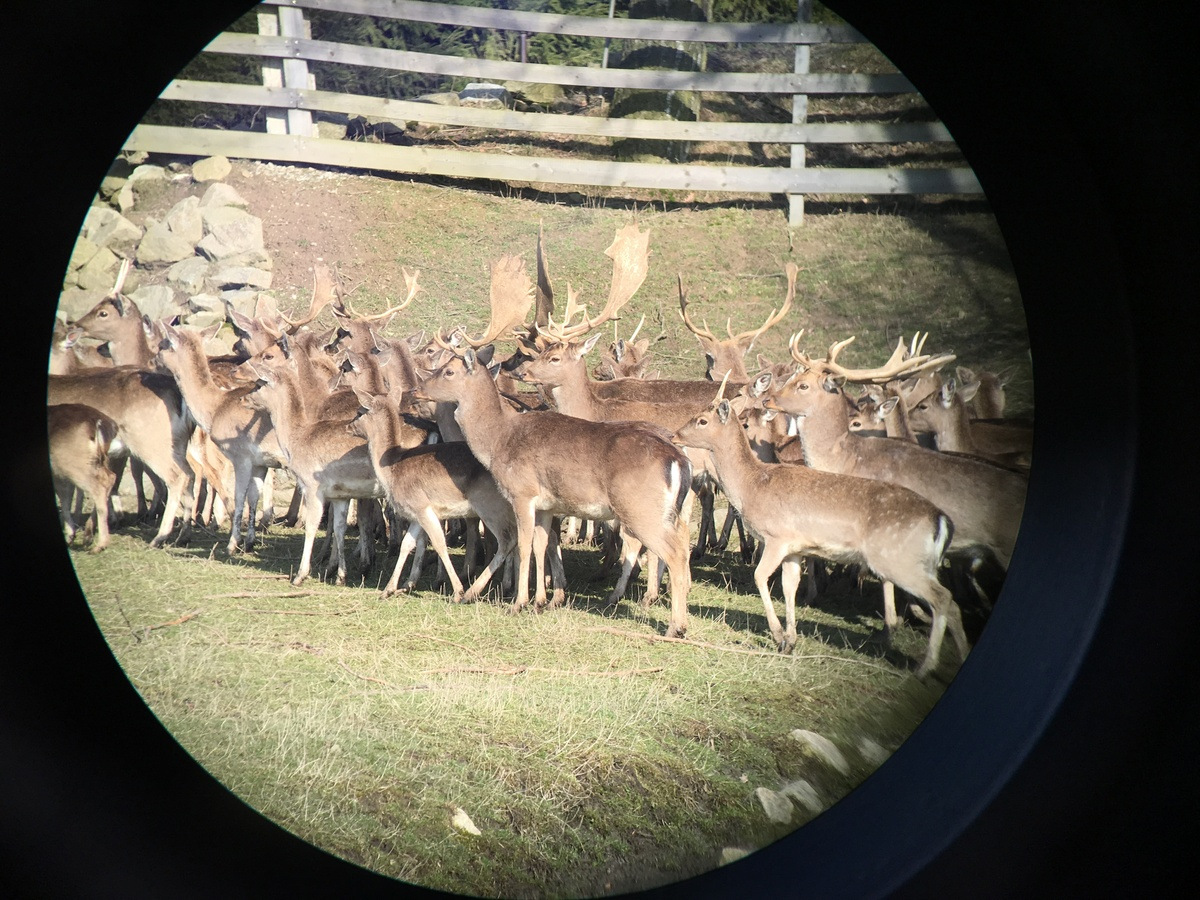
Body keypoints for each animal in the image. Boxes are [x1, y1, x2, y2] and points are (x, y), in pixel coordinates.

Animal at [48, 403, 119, 552]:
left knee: (99, 486)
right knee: (110, 477)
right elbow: (66, 496)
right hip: (95, 461)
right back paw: (87, 536)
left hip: (70, 462)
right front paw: (70, 535)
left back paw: (100, 544)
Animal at [673, 377, 966, 679]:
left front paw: (777, 635)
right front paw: (790, 640)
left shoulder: (777, 537)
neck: (752, 486)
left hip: (898, 560)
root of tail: (940, 520)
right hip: (921, 563)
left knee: (944, 598)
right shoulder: (794, 549)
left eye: (702, 420)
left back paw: (924, 667)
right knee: (950, 603)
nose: (674, 435)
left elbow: (759, 576)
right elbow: (789, 585)